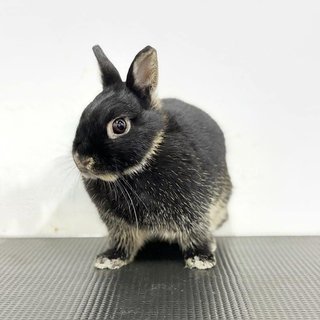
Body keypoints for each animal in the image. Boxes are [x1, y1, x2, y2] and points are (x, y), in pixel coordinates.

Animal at [72, 44, 232, 270]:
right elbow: (123, 241)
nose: (82, 160)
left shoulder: (195, 211)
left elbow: (195, 232)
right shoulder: (119, 225)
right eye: (83, 115)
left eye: (119, 126)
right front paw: (110, 258)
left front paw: (201, 258)